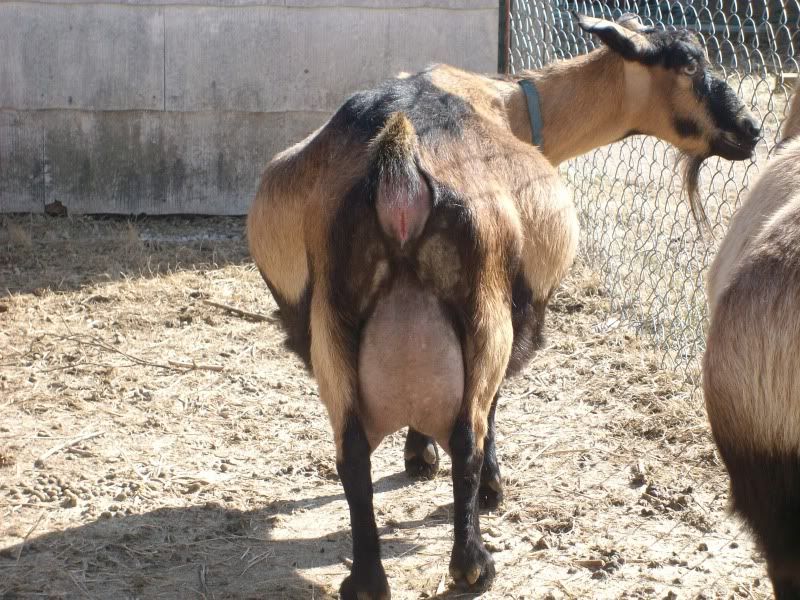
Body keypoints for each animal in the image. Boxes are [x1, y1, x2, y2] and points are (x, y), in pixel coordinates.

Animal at [248, 14, 760, 597]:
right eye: (691, 63)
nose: (752, 130)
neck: (510, 103)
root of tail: (399, 170)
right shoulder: (517, 310)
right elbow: (492, 410)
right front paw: (490, 486)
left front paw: (417, 455)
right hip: (484, 310)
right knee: (468, 434)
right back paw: (472, 561)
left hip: (328, 323)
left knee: (352, 452)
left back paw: (368, 579)